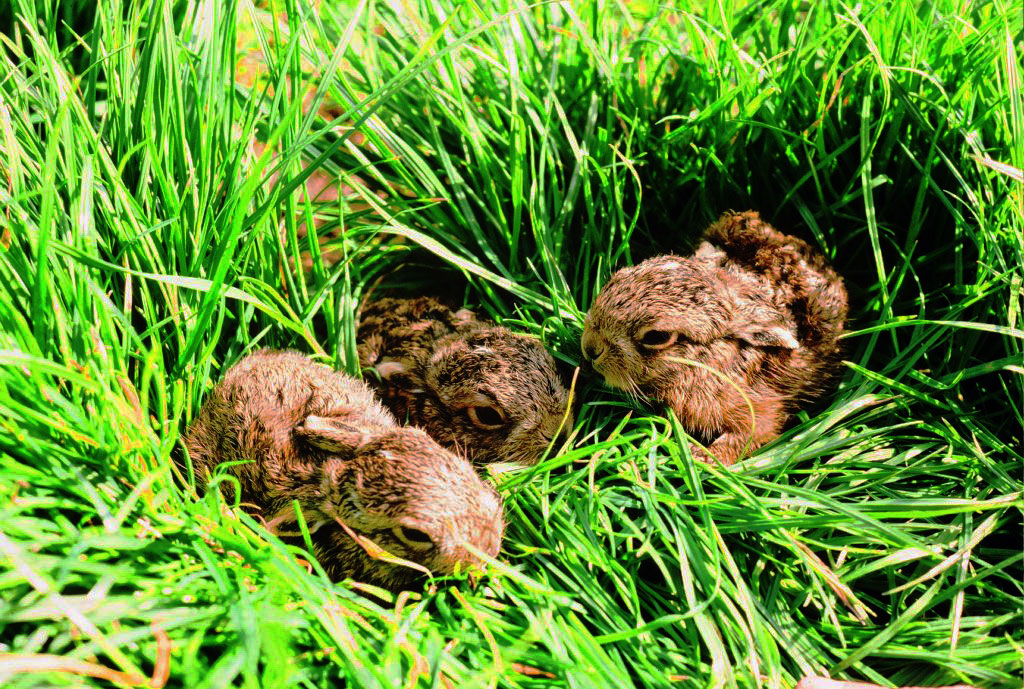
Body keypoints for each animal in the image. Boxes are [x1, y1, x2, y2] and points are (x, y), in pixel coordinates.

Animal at [581, 210, 848, 465]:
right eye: (617, 278)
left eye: (657, 336)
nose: (590, 348)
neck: (708, 361)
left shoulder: (759, 412)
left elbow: (746, 436)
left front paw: (702, 458)